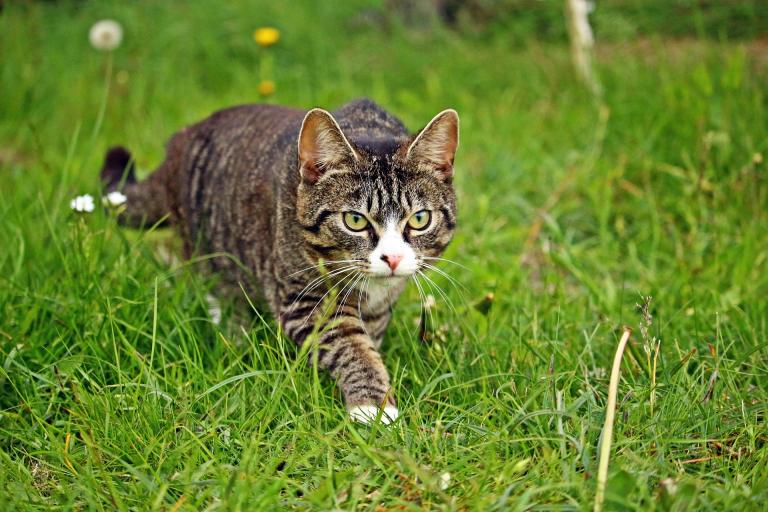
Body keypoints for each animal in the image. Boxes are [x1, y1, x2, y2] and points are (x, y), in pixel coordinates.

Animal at [102, 99, 462, 424]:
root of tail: (181, 141)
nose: (393, 257)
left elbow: (368, 334)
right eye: (355, 221)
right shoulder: (305, 300)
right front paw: (372, 405)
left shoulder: (380, 305)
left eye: (419, 219)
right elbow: (350, 344)